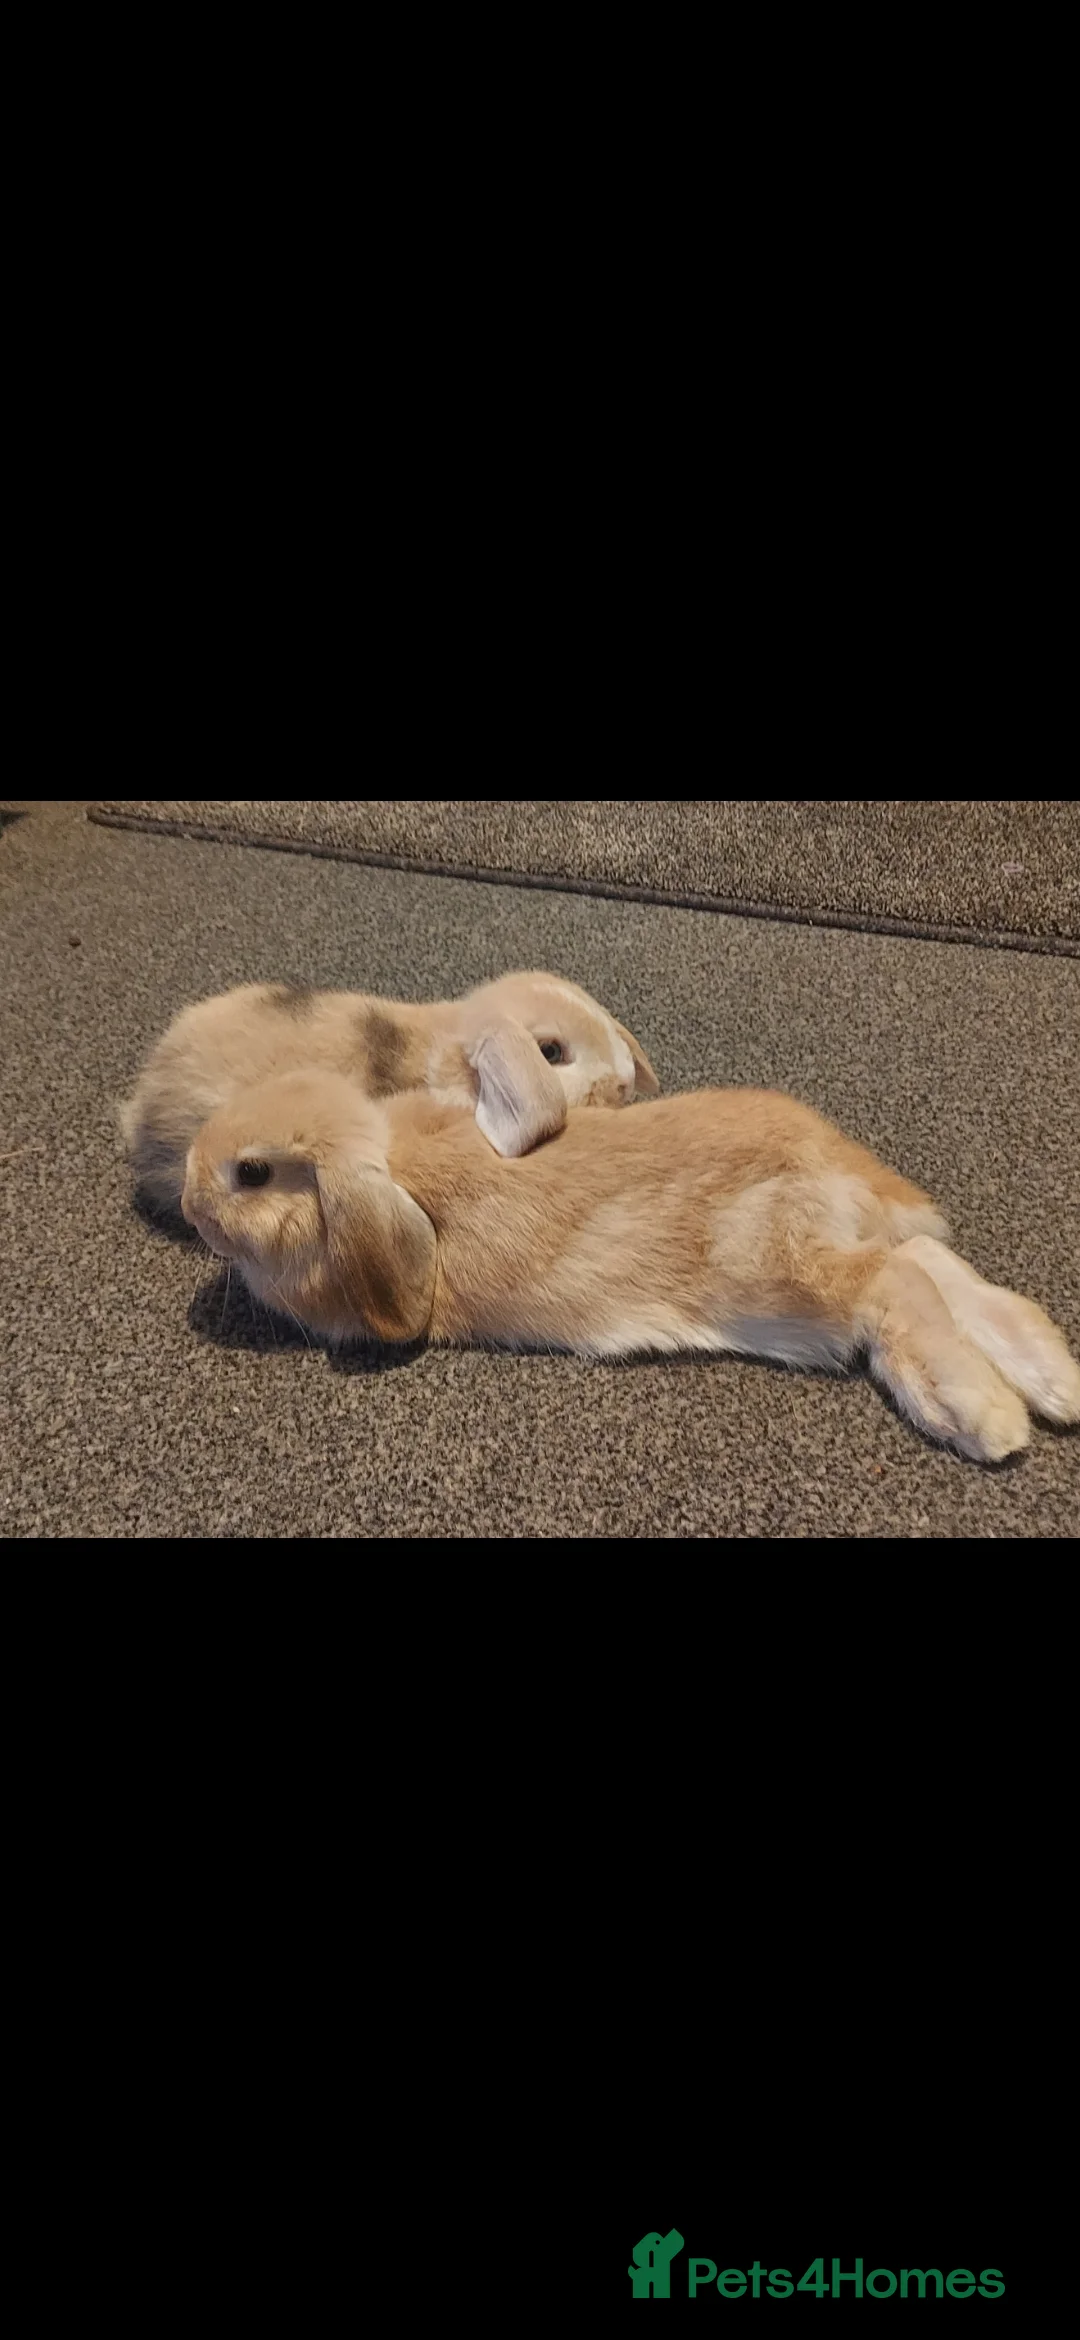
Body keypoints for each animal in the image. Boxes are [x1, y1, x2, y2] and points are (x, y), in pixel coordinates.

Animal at [179, 1059, 1080, 1464]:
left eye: (251, 1173)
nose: (189, 1202)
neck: (381, 1162)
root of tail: (837, 1162)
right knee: (930, 1258)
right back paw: (1055, 1382)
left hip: (781, 1281)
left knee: (898, 1279)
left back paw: (980, 1417)